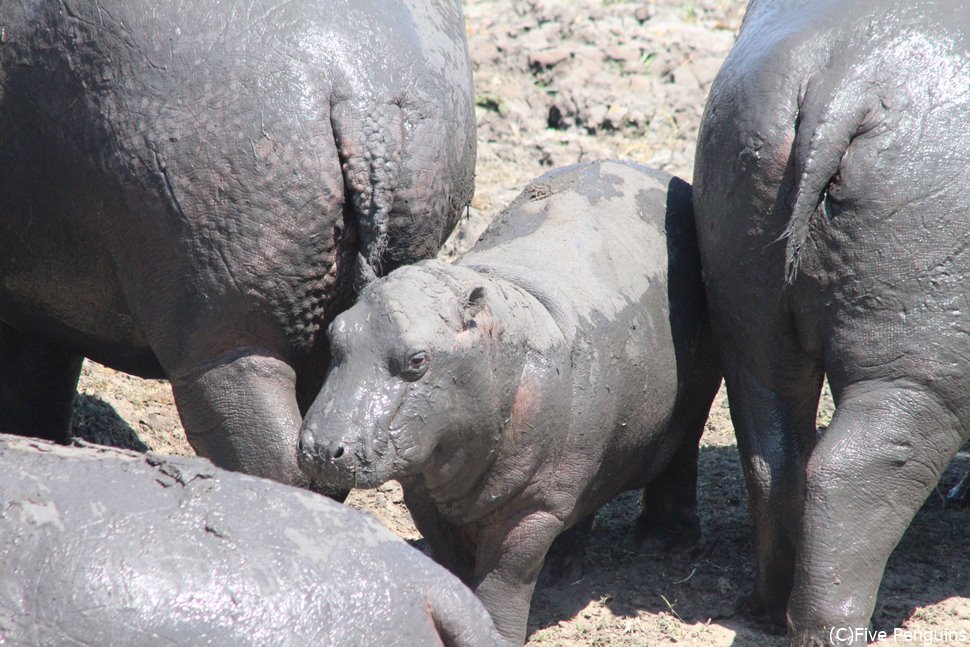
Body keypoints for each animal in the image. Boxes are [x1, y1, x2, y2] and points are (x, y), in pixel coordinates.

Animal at [298, 161, 724, 644]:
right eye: (335, 333)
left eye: (418, 359)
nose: (320, 448)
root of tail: (660, 175)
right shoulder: (426, 493)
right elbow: (452, 561)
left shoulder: (534, 505)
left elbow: (505, 579)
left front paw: (495, 633)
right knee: (591, 493)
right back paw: (562, 568)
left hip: (693, 399)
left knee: (680, 455)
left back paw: (661, 545)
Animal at [692, 1, 968, 644]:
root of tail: (845, 79)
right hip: (918, 369)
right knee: (856, 470)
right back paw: (836, 627)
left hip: (748, 322)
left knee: (773, 457)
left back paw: (766, 608)